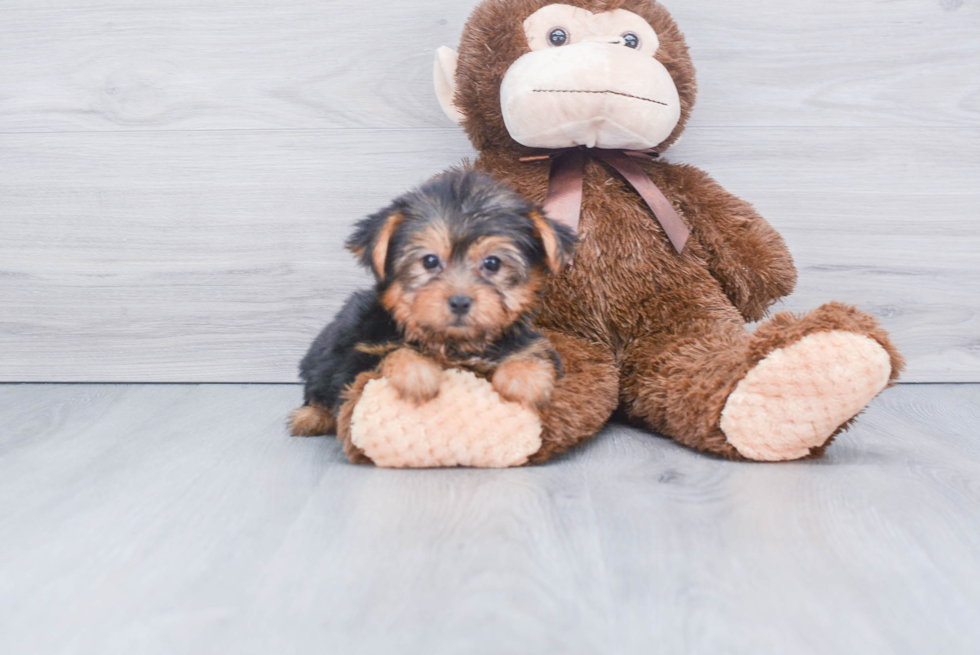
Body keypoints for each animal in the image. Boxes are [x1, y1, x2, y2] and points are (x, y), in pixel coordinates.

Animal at [288, 169, 580, 438]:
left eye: (492, 263)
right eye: (429, 261)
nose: (460, 302)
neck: (453, 345)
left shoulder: (531, 344)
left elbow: (534, 353)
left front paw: (525, 379)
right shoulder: (356, 355)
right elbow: (387, 355)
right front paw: (416, 373)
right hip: (323, 354)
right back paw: (310, 416)